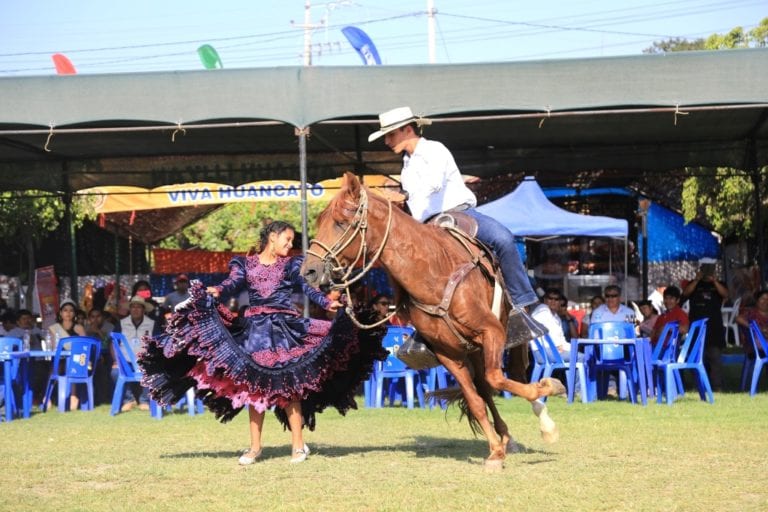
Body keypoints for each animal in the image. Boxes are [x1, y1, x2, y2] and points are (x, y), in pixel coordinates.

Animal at [302, 173, 564, 468]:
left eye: (340, 222)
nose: (309, 271)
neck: (433, 272)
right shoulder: (447, 352)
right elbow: (476, 398)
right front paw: (495, 452)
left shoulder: (492, 331)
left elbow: (499, 378)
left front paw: (550, 390)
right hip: (473, 350)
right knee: (484, 387)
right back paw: (506, 438)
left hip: (511, 334)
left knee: (516, 371)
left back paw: (544, 420)